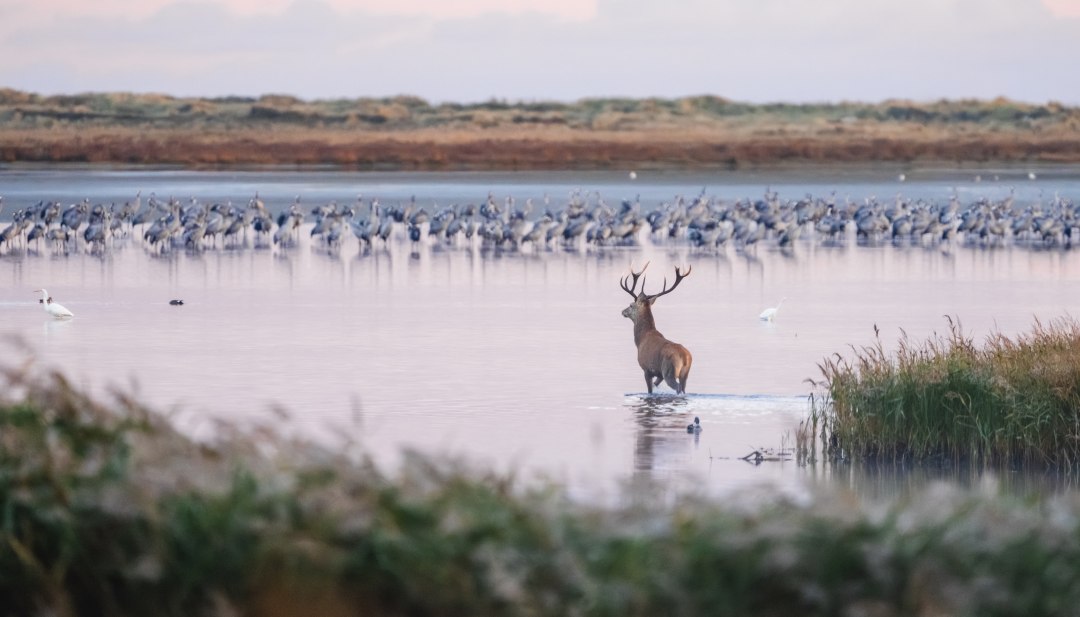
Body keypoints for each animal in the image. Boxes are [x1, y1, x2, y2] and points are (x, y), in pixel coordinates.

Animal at [619, 261, 693, 394]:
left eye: (631, 305)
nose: (623, 311)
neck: (640, 340)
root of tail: (685, 357)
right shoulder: (659, 374)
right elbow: (655, 385)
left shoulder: (647, 369)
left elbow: (650, 390)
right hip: (685, 374)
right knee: (683, 388)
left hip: (669, 370)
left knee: (677, 387)